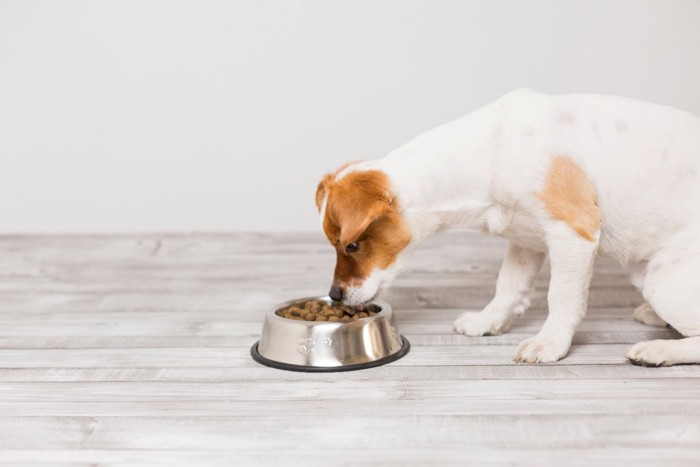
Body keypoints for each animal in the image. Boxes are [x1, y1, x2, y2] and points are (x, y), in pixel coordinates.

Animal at [318, 89, 700, 368]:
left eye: (351, 245)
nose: (335, 295)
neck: (487, 152)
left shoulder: (573, 232)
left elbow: (561, 298)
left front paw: (549, 343)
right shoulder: (525, 240)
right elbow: (508, 286)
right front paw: (487, 322)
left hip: (662, 280)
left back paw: (657, 351)